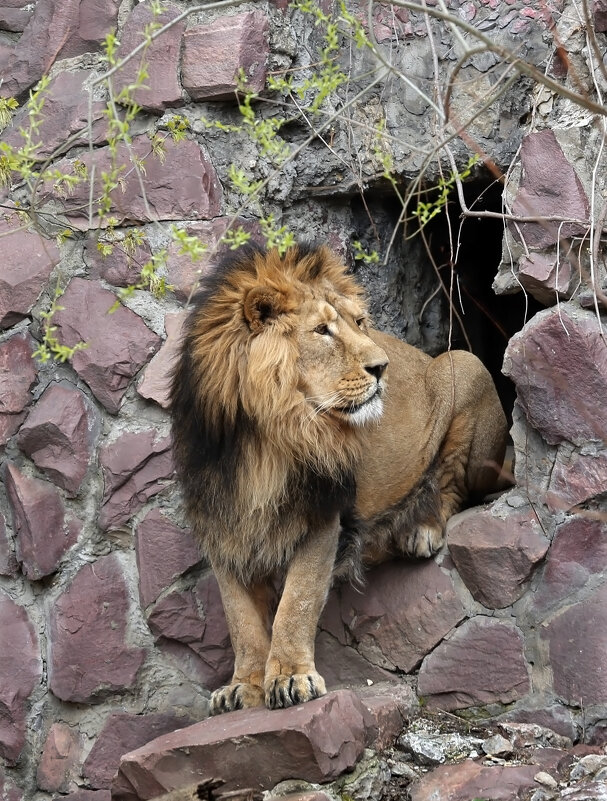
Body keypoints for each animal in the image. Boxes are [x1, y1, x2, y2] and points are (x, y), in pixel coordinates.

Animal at [171, 242, 508, 712]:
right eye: (322, 331)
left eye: (359, 323)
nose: (382, 366)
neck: (266, 436)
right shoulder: (222, 522)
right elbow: (241, 619)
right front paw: (244, 685)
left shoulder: (321, 512)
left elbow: (297, 600)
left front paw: (291, 678)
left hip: (465, 365)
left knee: (451, 483)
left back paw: (419, 528)